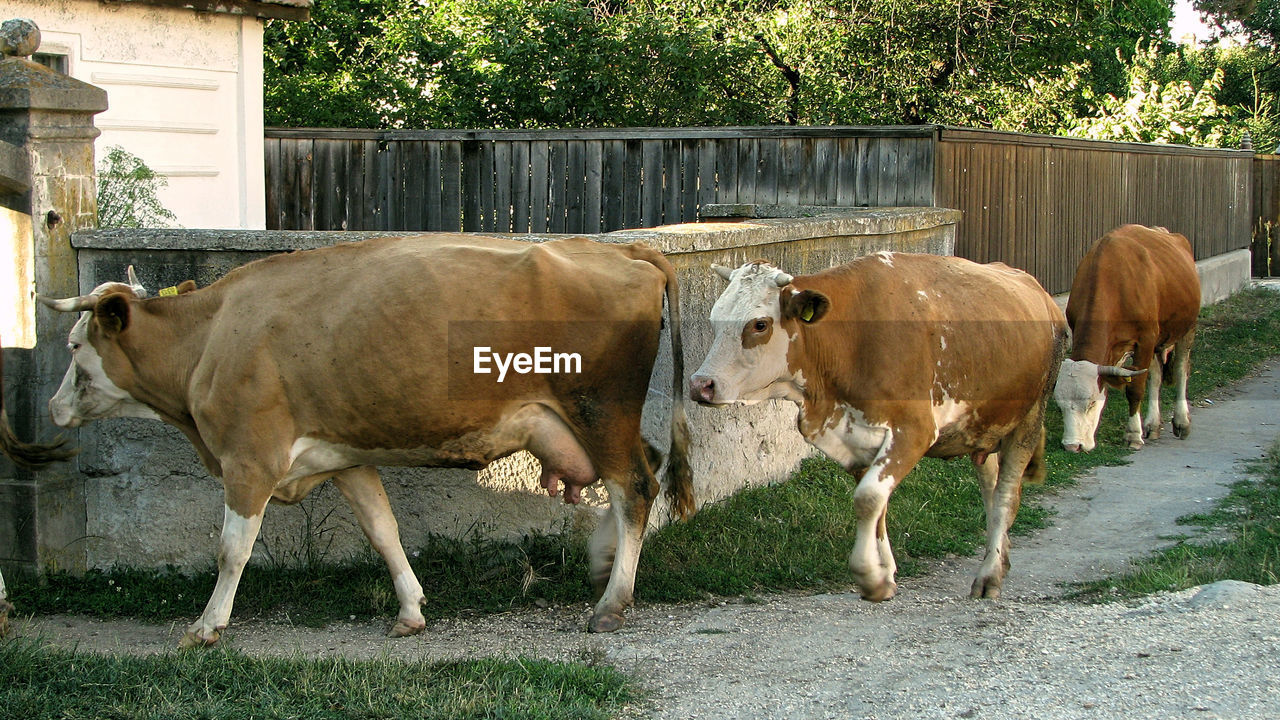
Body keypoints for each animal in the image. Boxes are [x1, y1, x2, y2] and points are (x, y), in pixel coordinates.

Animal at [40, 235, 696, 645]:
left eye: (74, 344)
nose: (51, 407)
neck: (210, 336)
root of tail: (627, 251)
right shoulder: (343, 458)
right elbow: (383, 531)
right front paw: (409, 610)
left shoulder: (249, 459)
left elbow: (231, 550)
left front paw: (207, 625)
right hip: (593, 421)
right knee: (646, 470)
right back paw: (604, 562)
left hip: (599, 409)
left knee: (635, 488)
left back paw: (612, 604)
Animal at [691, 253, 1070, 599]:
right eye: (714, 320)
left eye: (759, 324)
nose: (701, 384)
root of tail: (1038, 291)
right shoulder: (856, 439)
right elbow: (877, 507)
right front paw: (885, 573)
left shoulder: (913, 432)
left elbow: (868, 498)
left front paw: (869, 576)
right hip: (984, 426)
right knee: (991, 488)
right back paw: (999, 559)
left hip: (1029, 419)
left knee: (1006, 494)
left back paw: (989, 574)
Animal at [1049, 224, 1198, 448]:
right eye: (1060, 405)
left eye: (1091, 402)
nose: (1072, 446)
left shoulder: (1145, 339)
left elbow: (1135, 388)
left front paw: (1133, 433)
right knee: (1156, 376)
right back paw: (1153, 424)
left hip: (1186, 328)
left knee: (1181, 369)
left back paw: (1182, 421)